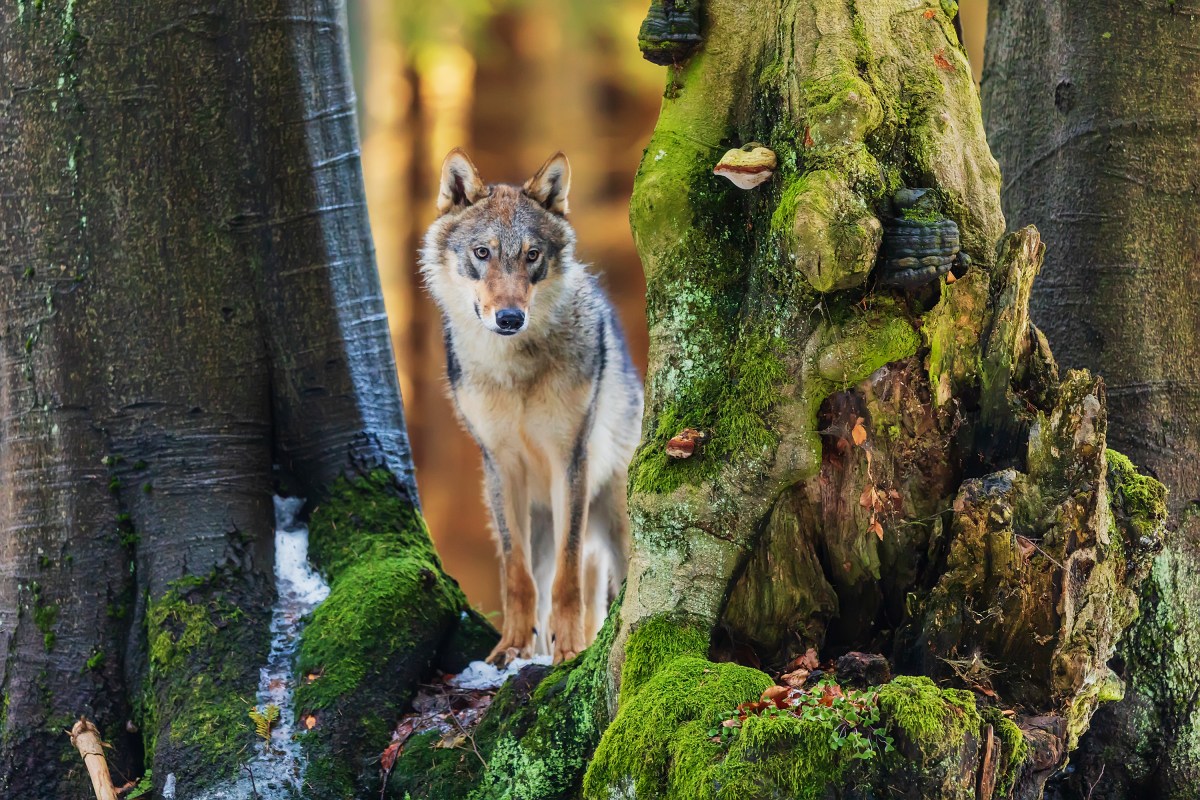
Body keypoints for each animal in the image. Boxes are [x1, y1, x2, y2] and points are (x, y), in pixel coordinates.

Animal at [422, 148, 648, 662]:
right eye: (482, 253)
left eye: (531, 255)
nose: (510, 317)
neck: (515, 371)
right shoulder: (500, 465)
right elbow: (516, 573)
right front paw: (510, 648)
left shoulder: (570, 459)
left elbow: (569, 576)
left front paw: (570, 650)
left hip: (615, 520)